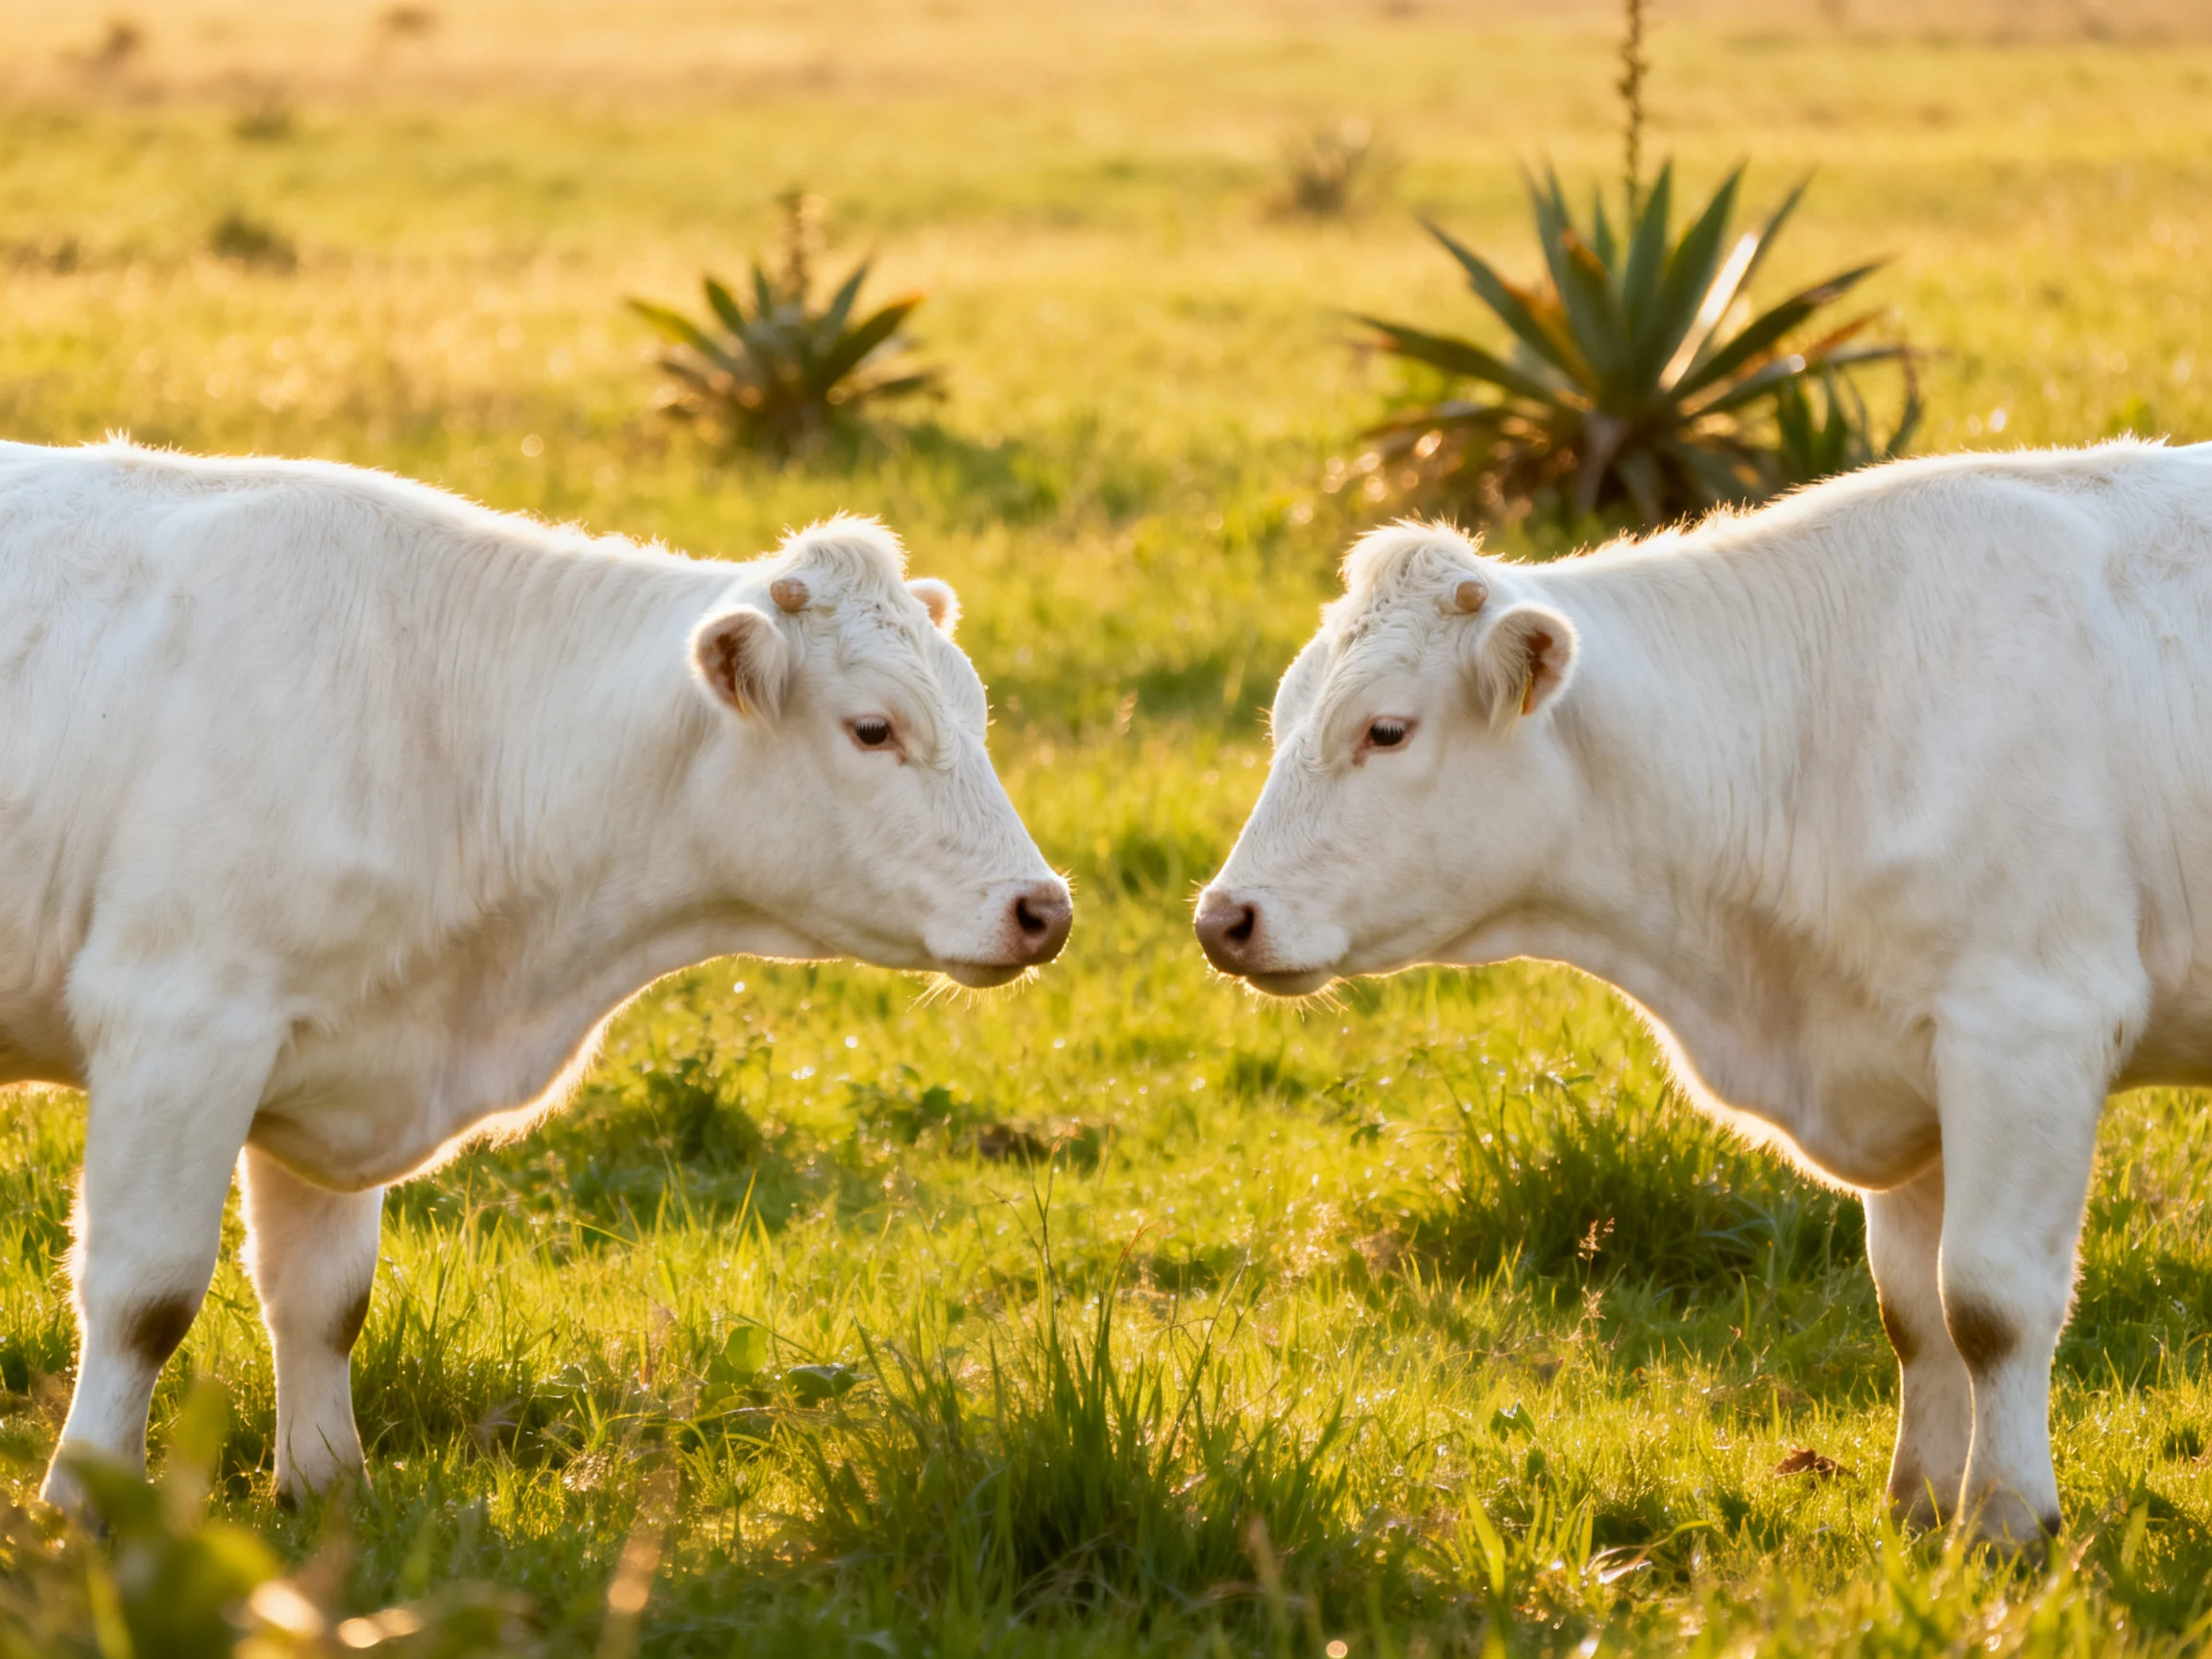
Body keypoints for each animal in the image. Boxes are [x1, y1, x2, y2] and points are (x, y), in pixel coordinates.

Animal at [0, 440, 1071, 1519]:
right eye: (872, 729)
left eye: (978, 716)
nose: (1044, 909)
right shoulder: (179, 1026)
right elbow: (145, 1298)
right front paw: (87, 1502)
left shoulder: (336, 1047)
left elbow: (324, 1300)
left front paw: (330, 1489)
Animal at [1196, 440, 2212, 1547]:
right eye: (1282, 720)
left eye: (1385, 731)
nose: (1224, 918)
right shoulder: (1901, 1054)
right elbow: (1914, 1312)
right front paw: (1918, 1508)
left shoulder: (2029, 1028)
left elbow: (1989, 1304)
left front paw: (2006, 1520)